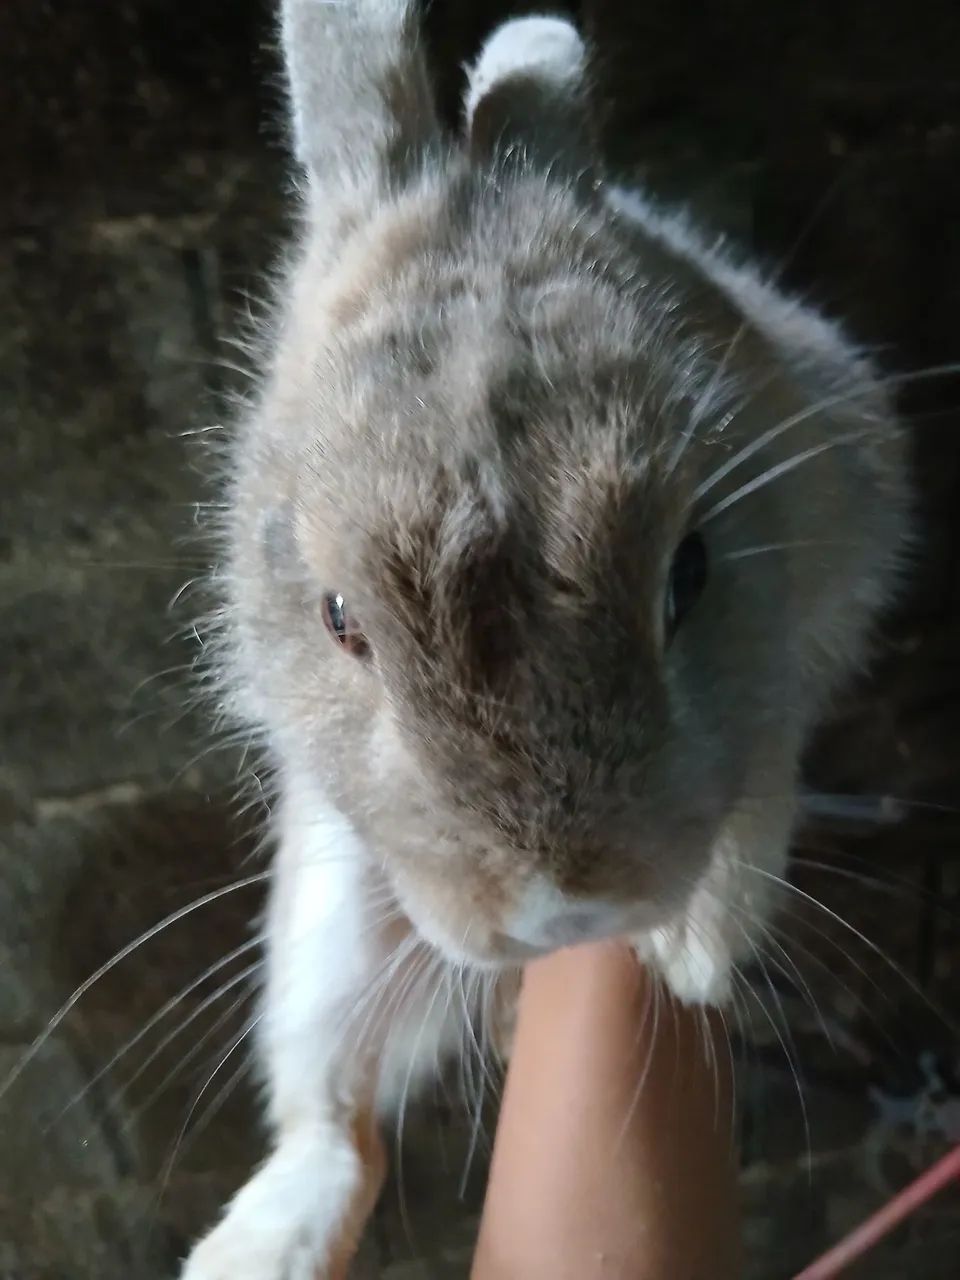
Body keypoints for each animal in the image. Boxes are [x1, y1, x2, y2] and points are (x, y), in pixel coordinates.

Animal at [180, 3, 911, 1277]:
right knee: (337, 1118)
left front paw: (697, 949)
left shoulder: (805, 635)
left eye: (691, 571)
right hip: (330, 918)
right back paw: (251, 1251)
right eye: (339, 618)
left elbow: (761, 785)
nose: (560, 911)